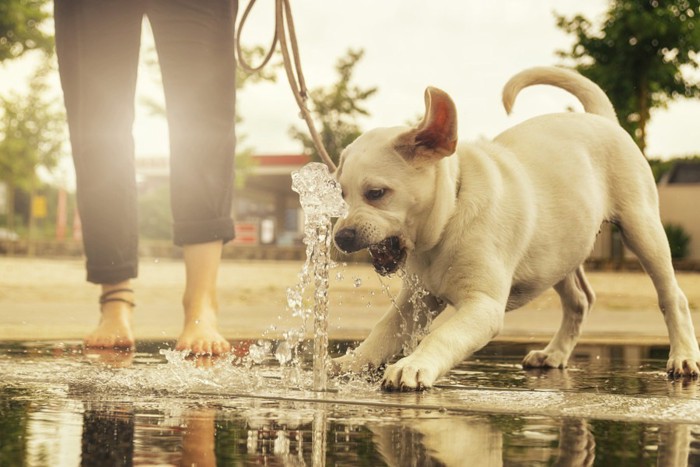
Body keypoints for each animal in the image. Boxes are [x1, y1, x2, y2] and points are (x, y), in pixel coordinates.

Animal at [332, 66, 700, 392]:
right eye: (341, 194)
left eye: (376, 193)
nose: (341, 236)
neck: (450, 215)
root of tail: (602, 118)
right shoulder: (416, 301)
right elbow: (382, 332)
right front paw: (350, 364)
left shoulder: (483, 307)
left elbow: (442, 335)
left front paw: (413, 366)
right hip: (560, 252)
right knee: (580, 301)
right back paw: (554, 354)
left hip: (642, 229)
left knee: (672, 296)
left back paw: (683, 357)